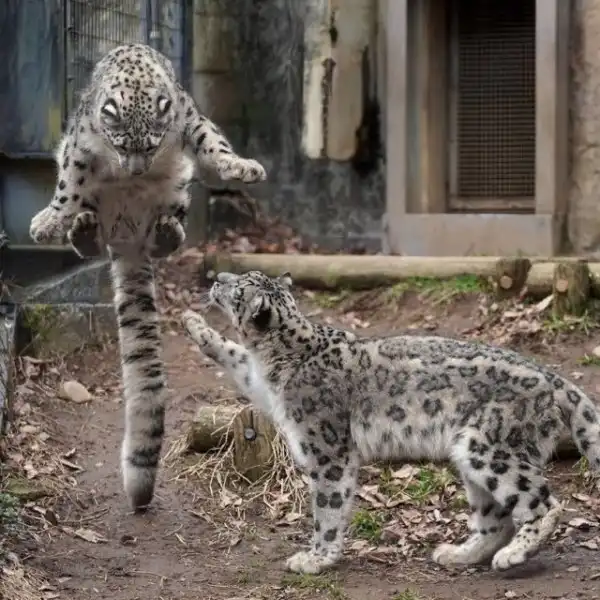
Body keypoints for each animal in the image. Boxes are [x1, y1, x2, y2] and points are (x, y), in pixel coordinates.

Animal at [28, 43, 266, 512]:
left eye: (152, 142)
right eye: (120, 142)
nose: (135, 170)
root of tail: (127, 231)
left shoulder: (191, 121)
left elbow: (215, 144)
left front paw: (242, 168)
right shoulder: (79, 144)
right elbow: (69, 183)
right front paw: (48, 221)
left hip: (178, 191)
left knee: (164, 235)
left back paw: (166, 231)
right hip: (102, 212)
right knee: (89, 238)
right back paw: (81, 228)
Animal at [181, 270, 600, 575]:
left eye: (239, 289)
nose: (217, 277)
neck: (274, 361)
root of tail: (550, 376)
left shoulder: (328, 453)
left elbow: (328, 508)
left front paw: (316, 558)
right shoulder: (260, 384)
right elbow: (235, 354)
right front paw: (192, 322)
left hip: (491, 447)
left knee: (544, 503)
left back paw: (513, 555)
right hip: (471, 453)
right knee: (495, 519)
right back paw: (458, 554)